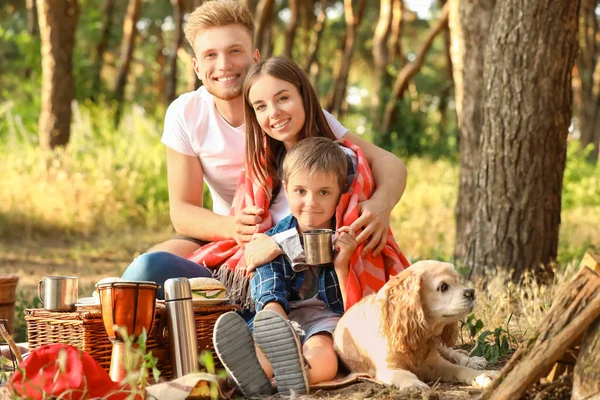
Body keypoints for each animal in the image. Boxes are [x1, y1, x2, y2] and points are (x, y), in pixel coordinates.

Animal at [336, 260, 500, 390]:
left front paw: (484, 375)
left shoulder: (436, 363)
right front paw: (414, 384)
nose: (471, 293)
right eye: (443, 287)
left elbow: (460, 369)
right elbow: (404, 375)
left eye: (458, 282)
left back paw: (474, 362)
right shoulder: (389, 368)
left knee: (454, 354)